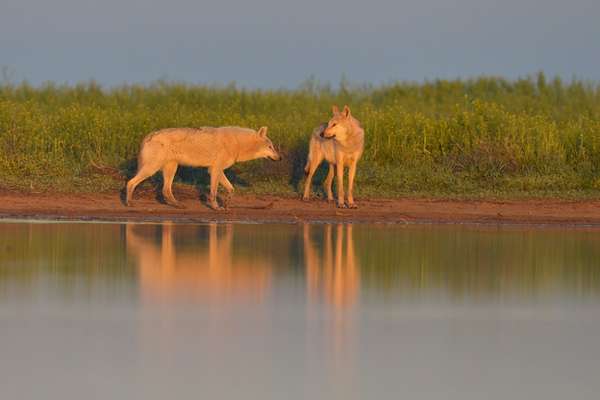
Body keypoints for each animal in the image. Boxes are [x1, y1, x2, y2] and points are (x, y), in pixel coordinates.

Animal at [126, 126, 282, 211]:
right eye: (270, 147)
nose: (280, 158)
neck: (237, 143)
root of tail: (149, 135)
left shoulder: (216, 170)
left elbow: (231, 188)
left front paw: (226, 204)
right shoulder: (215, 170)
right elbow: (213, 192)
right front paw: (216, 207)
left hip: (171, 168)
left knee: (165, 190)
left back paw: (179, 205)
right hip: (152, 168)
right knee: (130, 183)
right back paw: (129, 203)